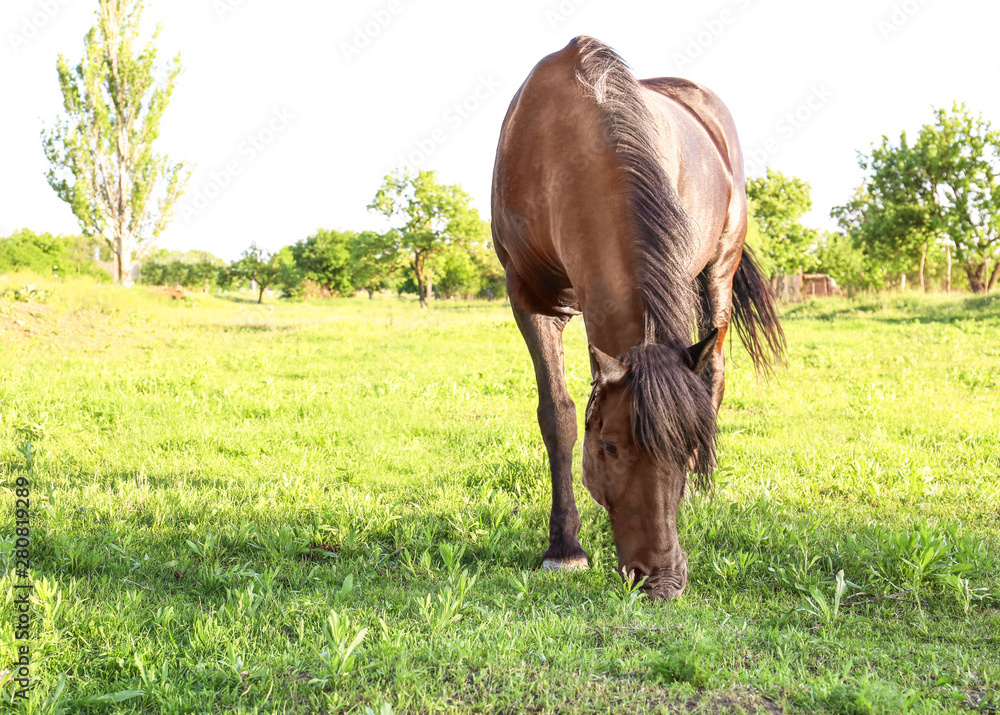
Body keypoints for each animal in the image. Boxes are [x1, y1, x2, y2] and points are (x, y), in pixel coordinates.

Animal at [490, 36, 780, 600]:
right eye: (608, 446)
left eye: (686, 446)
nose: (663, 580)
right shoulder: (529, 300)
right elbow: (557, 414)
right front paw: (564, 549)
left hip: (719, 271)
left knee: (713, 371)